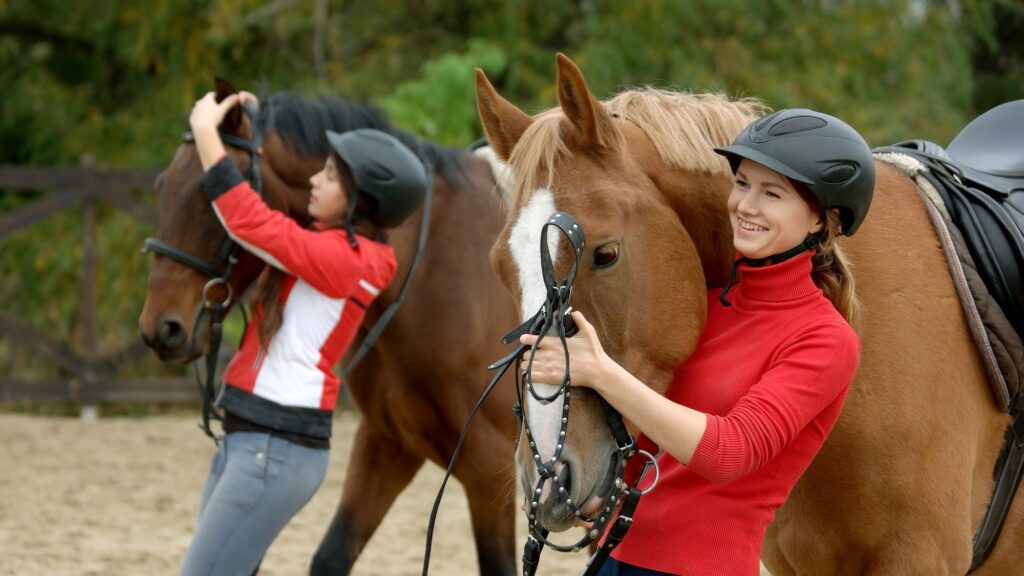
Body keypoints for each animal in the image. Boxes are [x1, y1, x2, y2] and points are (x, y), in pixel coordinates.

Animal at [137, 81, 520, 573]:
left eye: (210, 196)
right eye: (162, 187)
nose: (160, 329)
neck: (431, 274)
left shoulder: (490, 469)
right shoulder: (388, 443)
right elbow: (332, 555)